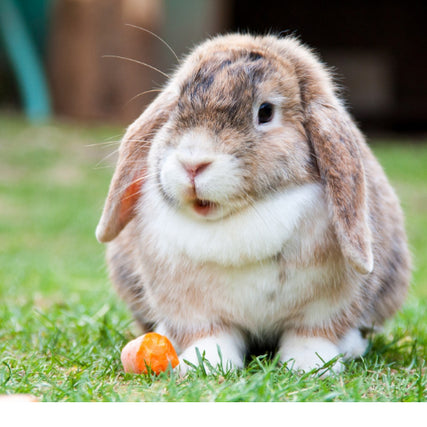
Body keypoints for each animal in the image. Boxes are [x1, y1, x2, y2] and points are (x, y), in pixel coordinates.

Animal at [96, 33, 412, 374]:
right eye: (178, 104)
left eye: (265, 112)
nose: (192, 164)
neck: (242, 216)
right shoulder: (193, 308)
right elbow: (211, 335)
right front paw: (206, 364)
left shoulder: (325, 306)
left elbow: (311, 334)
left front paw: (310, 365)